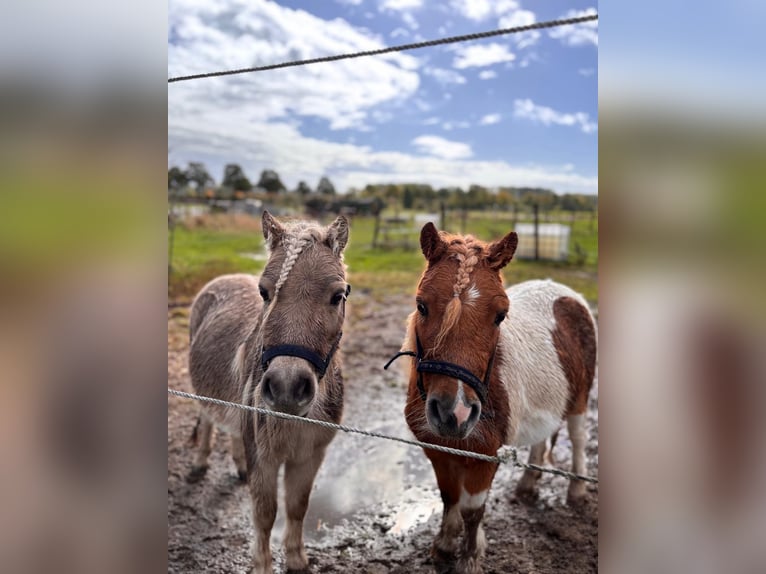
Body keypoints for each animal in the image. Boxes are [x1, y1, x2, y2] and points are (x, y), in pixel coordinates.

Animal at [187, 211, 350, 574]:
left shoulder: (310, 455)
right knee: (207, 421)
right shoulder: (264, 457)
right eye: (264, 291)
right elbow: (264, 512)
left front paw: (297, 559)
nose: (287, 387)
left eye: (338, 296)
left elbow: (297, 506)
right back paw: (200, 463)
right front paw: (262, 564)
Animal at [391, 222, 596, 574]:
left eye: (501, 315)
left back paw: (577, 490)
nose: (455, 413)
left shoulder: (484, 456)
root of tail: (567, 294)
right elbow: (449, 497)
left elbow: (473, 510)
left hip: (580, 401)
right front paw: (444, 546)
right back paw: (527, 484)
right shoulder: (437, 450)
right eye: (421, 305)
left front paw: (469, 558)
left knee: (579, 439)